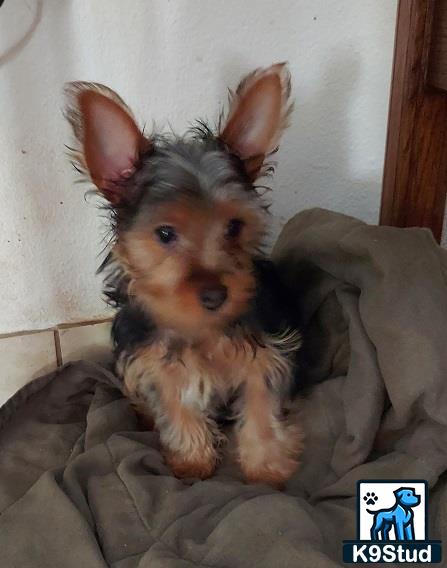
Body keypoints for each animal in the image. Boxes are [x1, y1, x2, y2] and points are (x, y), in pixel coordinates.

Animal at [65, 63, 304, 488]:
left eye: (234, 227)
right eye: (164, 234)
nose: (215, 295)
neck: (200, 329)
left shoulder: (266, 351)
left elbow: (261, 402)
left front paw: (266, 467)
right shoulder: (155, 362)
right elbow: (177, 408)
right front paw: (192, 461)